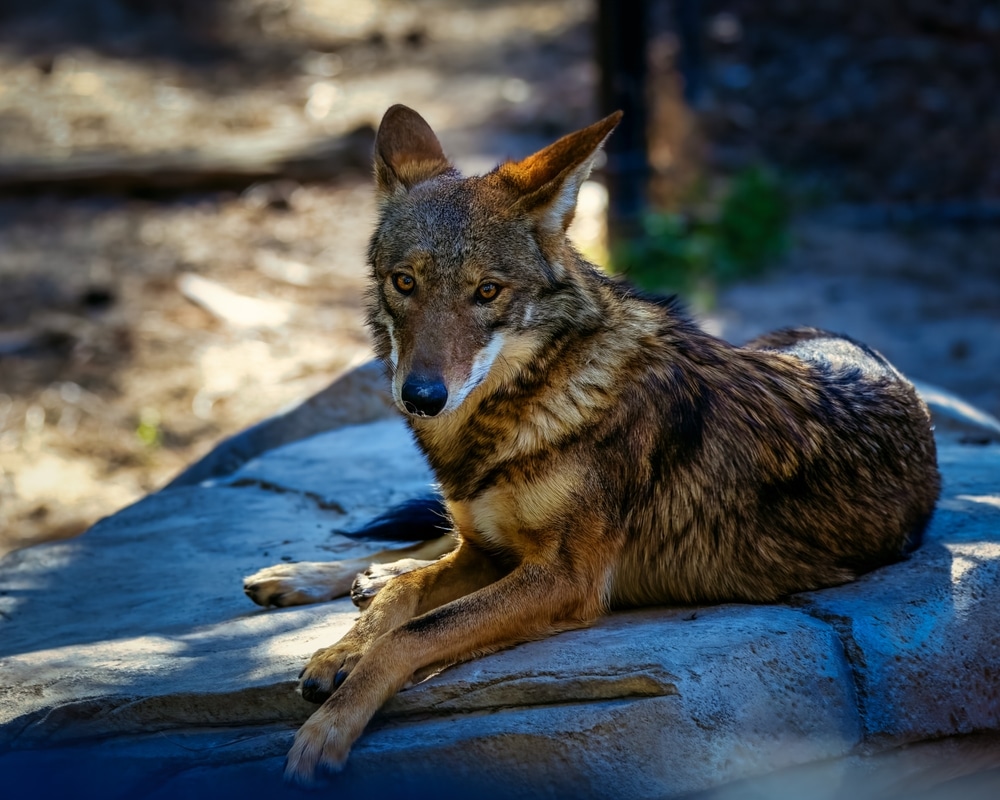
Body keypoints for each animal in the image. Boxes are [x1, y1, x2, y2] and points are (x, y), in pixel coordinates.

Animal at [261, 105, 939, 784]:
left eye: (488, 292)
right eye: (404, 282)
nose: (422, 396)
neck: (533, 397)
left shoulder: (564, 578)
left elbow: (416, 631)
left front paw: (327, 729)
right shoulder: (490, 551)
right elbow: (409, 601)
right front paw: (343, 648)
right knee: (422, 543)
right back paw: (309, 576)